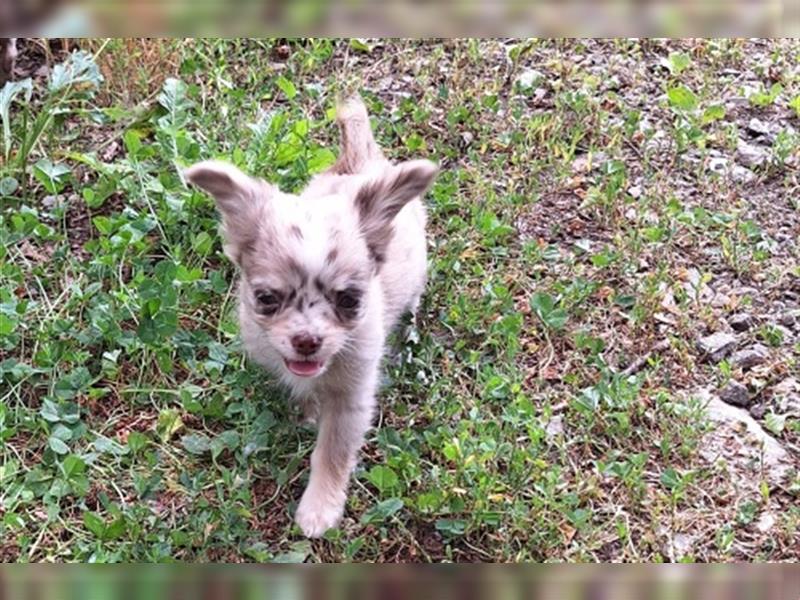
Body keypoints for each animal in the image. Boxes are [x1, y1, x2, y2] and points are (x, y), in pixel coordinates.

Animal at [184, 96, 438, 536]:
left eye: (350, 300)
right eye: (266, 298)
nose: (307, 340)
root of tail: (360, 161)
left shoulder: (353, 398)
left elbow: (332, 452)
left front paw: (320, 508)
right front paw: (309, 411)